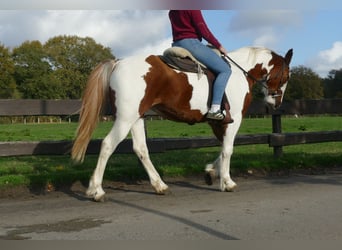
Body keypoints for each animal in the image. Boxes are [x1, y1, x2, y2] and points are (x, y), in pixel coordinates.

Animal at [71, 46, 292, 201]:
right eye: (287, 76)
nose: (276, 103)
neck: (239, 73)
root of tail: (118, 62)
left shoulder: (218, 123)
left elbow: (222, 148)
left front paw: (211, 172)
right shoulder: (233, 121)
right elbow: (228, 150)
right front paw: (227, 182)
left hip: (136, 118)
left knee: (140, 149)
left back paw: (159, 185)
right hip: (125, 119)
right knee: (108, 145)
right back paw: (96, 190)